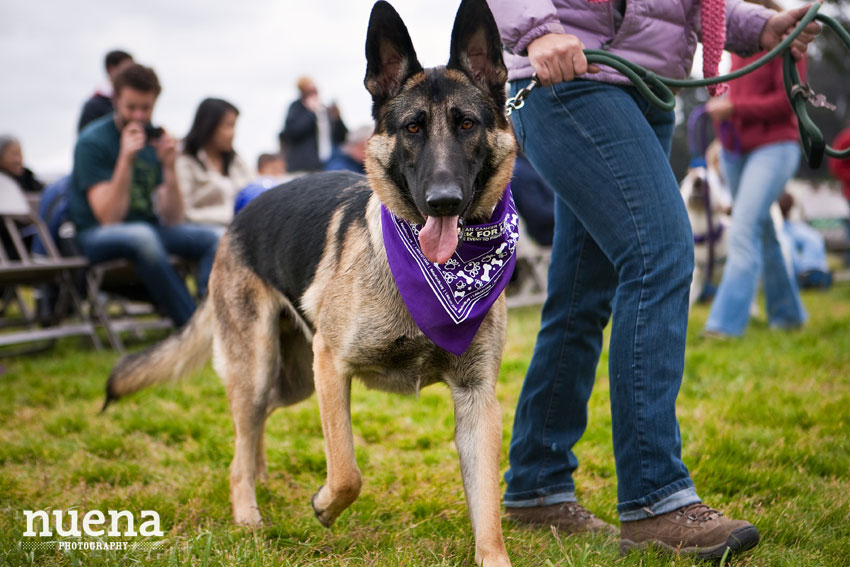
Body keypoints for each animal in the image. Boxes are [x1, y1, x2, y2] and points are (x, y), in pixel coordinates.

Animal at [106, 2, 516, 564]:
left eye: (468, 124)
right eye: (412, 128)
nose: (444, 201)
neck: (436, 272)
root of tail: (238, 217)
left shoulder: (477, 400)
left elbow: (487, 511)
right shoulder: (332, 364)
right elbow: (345, 471)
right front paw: (324, 505)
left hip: (292, 380)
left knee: (252, 426)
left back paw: (258, 474)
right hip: (262, 367)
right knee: (240, 440)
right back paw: (247, 512)